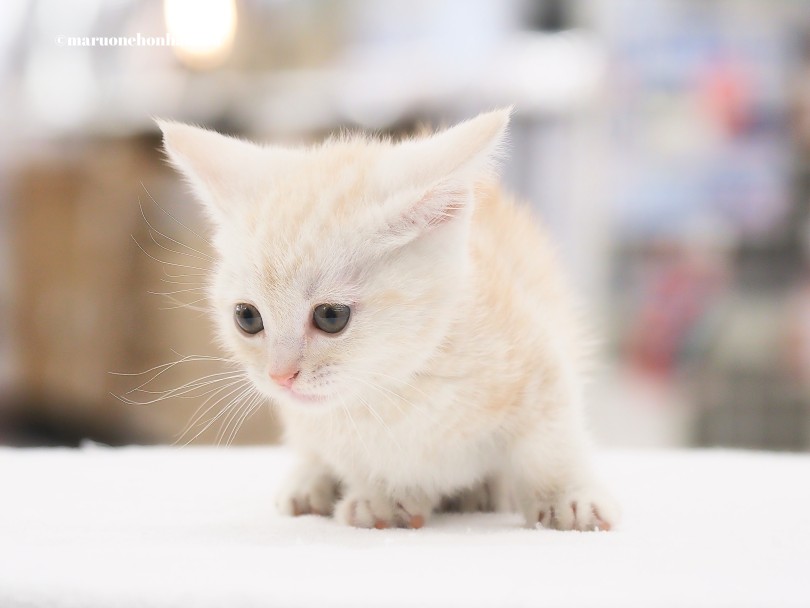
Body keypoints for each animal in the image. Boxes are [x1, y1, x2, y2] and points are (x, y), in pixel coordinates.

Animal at [156, 111, 620, 528]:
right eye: (247, 318)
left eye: (330, 316)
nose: (279, 376)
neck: (396, 391)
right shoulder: (320, 422)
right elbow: (355, 458)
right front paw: (386, 498)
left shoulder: (539, 360)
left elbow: (552, 440)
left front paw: (566, 497)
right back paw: (310, 482)